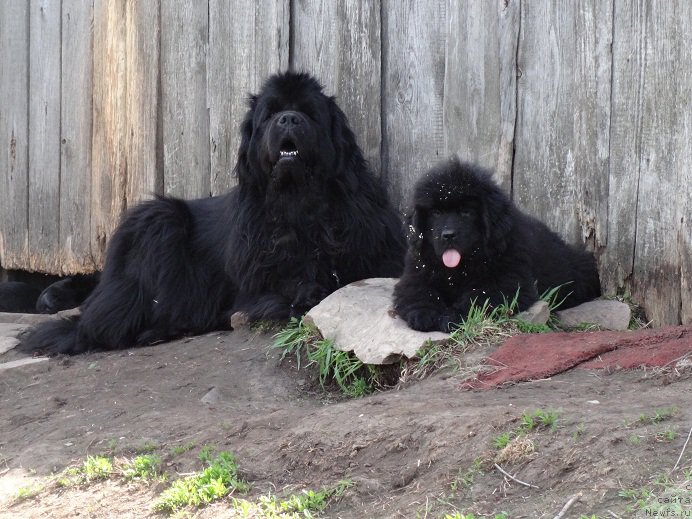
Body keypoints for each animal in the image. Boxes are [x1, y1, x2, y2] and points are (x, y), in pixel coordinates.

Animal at [23, 71, 406, 356]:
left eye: (310, 112)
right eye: (270, 114)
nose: (288, 118)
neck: (299, 206)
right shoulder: (257, 282)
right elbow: (289, 287)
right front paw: (302, 294)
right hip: (159, 219)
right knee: (104, 326)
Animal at [394, 156, 600, 334]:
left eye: (466, 212)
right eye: (436, 212)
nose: (448, 235)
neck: (459, 269)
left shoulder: (507, 283)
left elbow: (477, 297)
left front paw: (452, 316)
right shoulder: (415, 274)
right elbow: (420, 292)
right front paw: (423, 313)